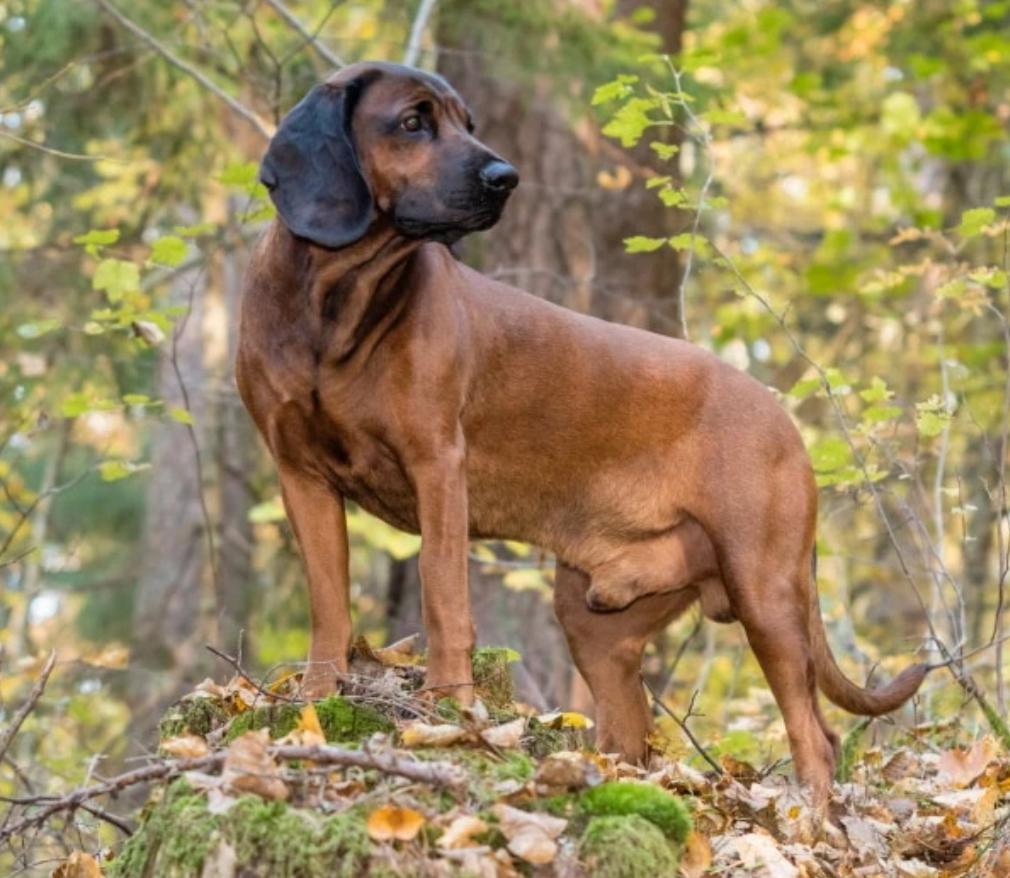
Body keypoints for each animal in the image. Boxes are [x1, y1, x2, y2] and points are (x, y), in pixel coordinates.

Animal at [234, 59, 925, 800]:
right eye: (413, 122)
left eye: (468, 123)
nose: (505, 177)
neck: (334, 306)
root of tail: (785, 419)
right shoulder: (300, 475)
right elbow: (329, 603)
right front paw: (315, 703)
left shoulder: (436, 466)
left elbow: (442, 593)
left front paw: (448, 713)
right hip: (597, 618)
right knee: (630, 735)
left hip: (764, 588)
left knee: (817, 738)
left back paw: (808, 817)